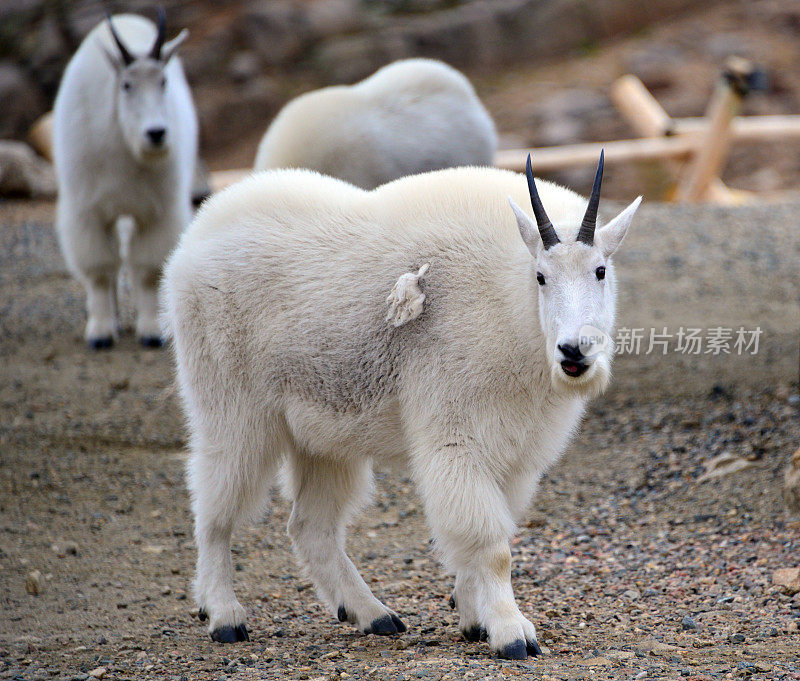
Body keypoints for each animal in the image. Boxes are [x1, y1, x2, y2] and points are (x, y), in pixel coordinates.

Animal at [54, 9, 197, 350]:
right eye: (126, 85)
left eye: (163, 81)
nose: (156, 134)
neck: (125, 148)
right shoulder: (87, 211)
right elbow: (99, 270)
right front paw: (100, 331)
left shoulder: (156, 211)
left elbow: (146, 270)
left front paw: (151, 331)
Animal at [159, 154, 640, 660]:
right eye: (541, 276)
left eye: (600, 271)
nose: (574, 351)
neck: (516, 312)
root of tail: (191, 241)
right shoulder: (456, 436)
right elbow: (493, 547)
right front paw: (513, 633)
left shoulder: (514, 455)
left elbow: (489, 539)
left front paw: (474, 620)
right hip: (231, 406)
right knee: (214, 508)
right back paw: (223, 615)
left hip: (323, 436)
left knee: (310, 526)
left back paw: (372, 614)